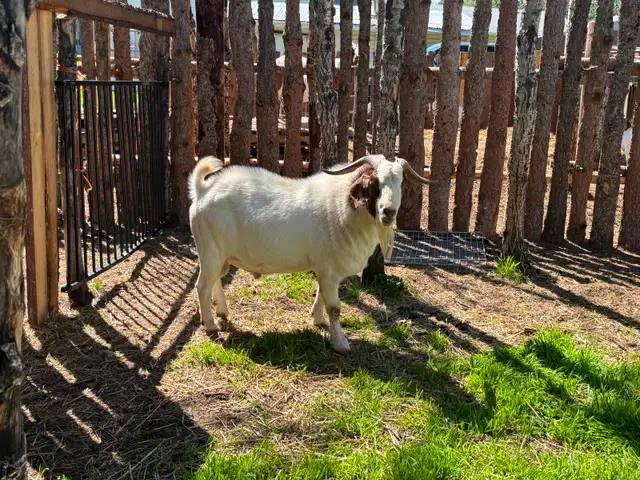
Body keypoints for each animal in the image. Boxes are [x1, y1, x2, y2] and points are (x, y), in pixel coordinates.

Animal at [188, 154, 433, 354]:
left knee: (216, 280)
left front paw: (318, 321)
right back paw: (211, 324)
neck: (342, 207)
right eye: (375, 183)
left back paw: (222, 312)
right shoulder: (329, 271)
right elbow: (335, 307)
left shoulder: (326, 269)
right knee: (202, 286)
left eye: (401, 182)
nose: (388, 212)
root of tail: (203, 191)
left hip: (221, 256)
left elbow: (321, 296)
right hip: (210, 251)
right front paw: (340, 343)